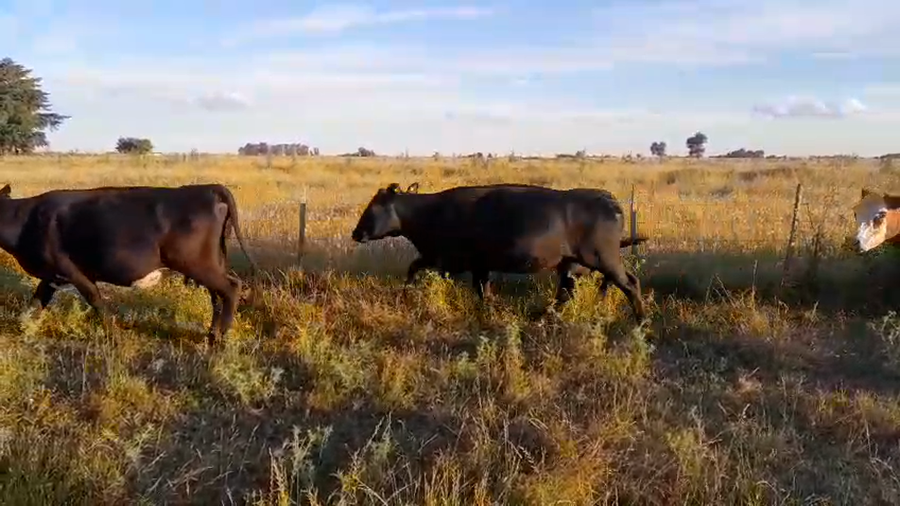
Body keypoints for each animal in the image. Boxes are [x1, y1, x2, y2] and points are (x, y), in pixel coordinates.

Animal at [0, 182, 260, 345]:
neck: (25, 220)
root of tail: (208, 188)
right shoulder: (51, 276)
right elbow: (35, 304)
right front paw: (22, 331)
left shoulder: (72, 271)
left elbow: (95, 301)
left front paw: (114, 336)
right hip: (211, 262)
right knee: (217, 296)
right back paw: (212, 335)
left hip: (197, 263)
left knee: (231, 288)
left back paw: (221, 339)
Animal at [350, 182, 648, 320]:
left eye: (374, 206)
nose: (355, 233)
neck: (431, 213)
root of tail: (608, 198)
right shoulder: (475, 265)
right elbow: (483, 289)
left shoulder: (449, 259)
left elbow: (414, 268)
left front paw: (404, 295)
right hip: (571, 263)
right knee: (565, 292)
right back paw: (542, 318)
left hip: (602, 258)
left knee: (630, 283)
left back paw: (641, 321)